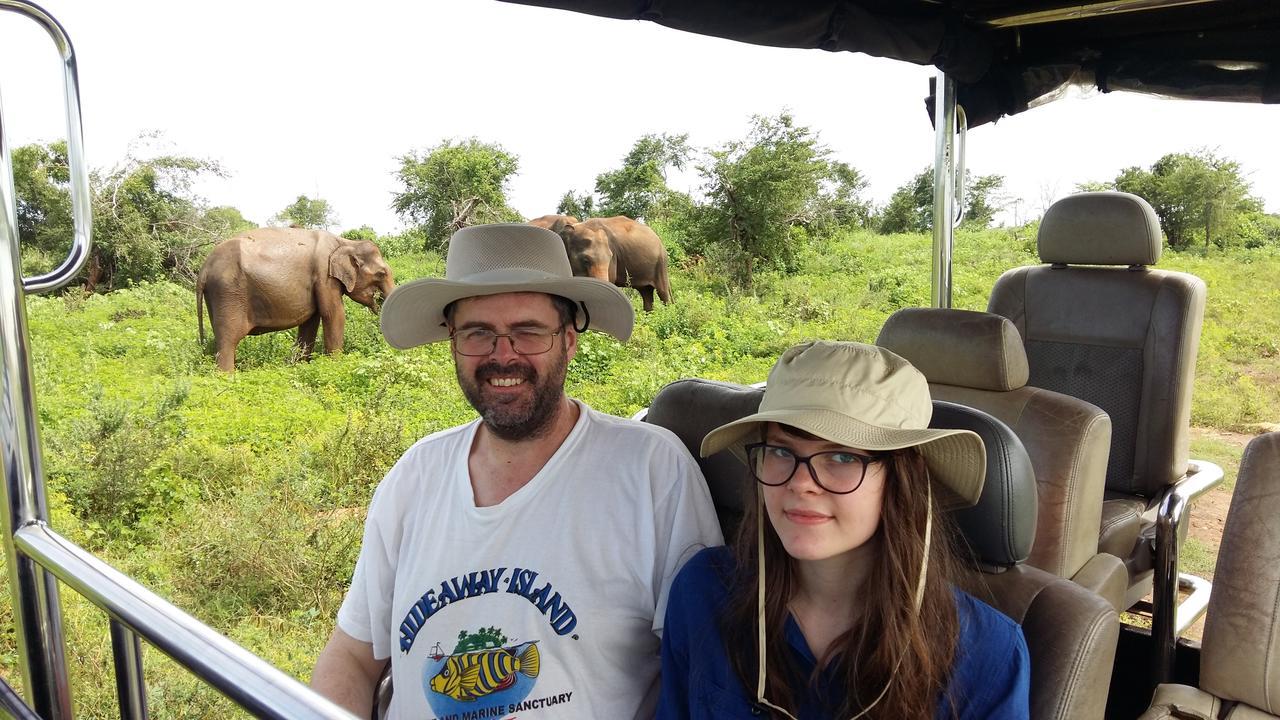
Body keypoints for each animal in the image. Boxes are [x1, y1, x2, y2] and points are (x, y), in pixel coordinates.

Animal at [194, 225, 391, 368]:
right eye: (381, 274)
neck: (345, 241)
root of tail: (204, 268)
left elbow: (310, 322)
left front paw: (299, 366)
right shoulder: (325, 277)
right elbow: (334, 315)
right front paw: (335, 366)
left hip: (216, 296)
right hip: (228, 293)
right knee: (228, 340)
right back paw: (227, 378)